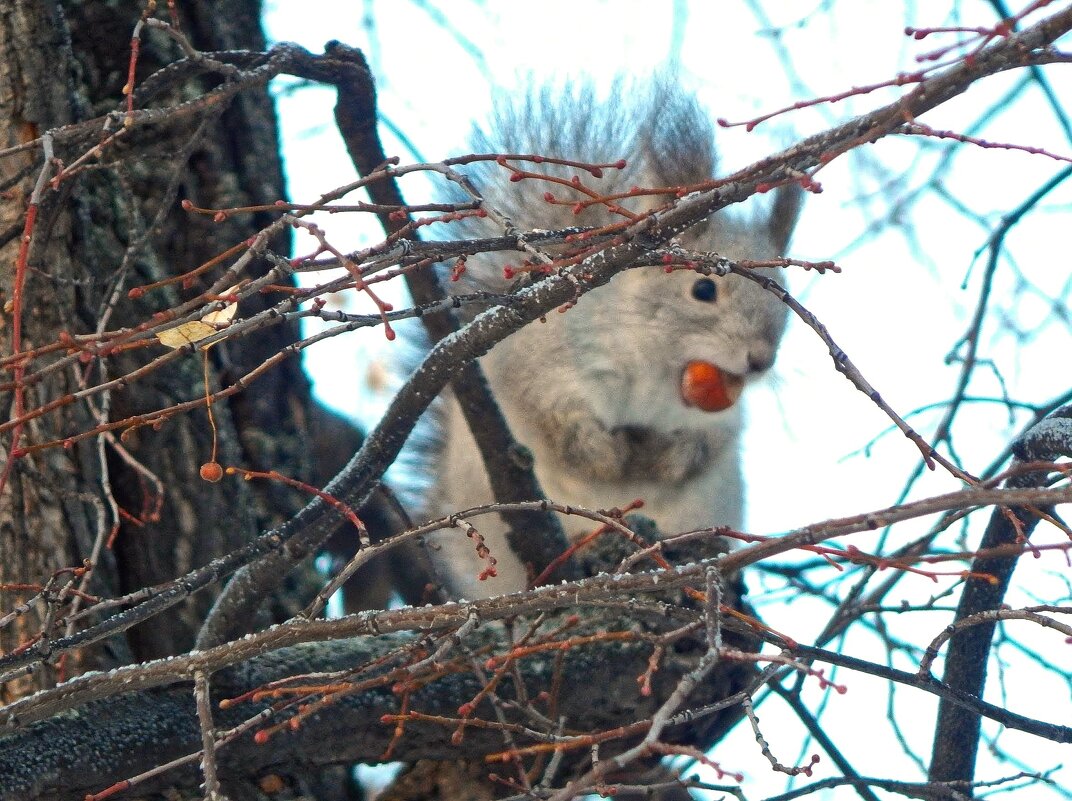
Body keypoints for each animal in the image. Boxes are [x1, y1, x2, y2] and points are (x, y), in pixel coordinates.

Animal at [422, 81, 801, 600]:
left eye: (784, 298)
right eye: (703, 290)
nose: (760, 361)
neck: (657, 364)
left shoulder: (722, 415)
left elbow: (710, 442)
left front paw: (669, 460)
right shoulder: (543, 358)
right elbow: (551, 413)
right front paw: (605, 456)